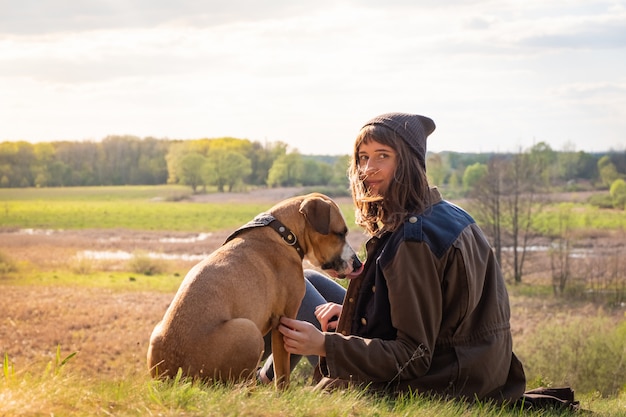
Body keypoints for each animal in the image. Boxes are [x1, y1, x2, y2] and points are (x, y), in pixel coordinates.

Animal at [146, 192, 360, 386]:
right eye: (340, 233)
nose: (358, 264)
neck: (284, 234)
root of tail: (176, 377)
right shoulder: (285, 319)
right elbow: (282, 373)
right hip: (249, 331)